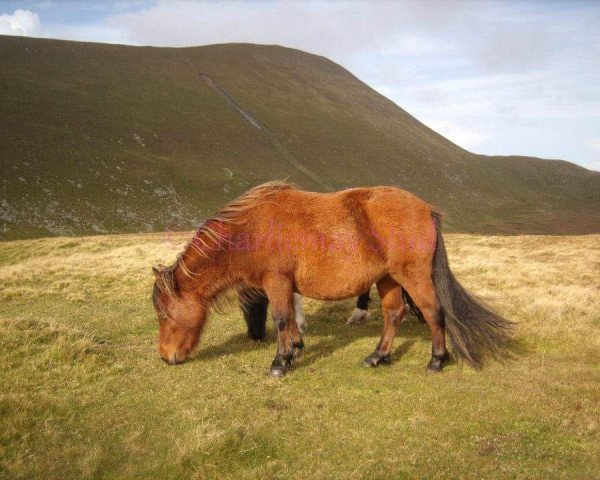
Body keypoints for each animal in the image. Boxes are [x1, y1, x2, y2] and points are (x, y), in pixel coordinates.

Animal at [152, 182, 512, 376]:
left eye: (166, 314)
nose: (166, 356)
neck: (251, 228)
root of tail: (426, 208)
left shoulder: (277, 281)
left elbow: (281, 319)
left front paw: (280, 362)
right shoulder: (284, 286)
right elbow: (290, 320)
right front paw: (295, 349)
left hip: (413, 277)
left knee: (434, 312)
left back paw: (436, 360)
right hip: (387, 280)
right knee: (395, 314)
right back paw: (378, 356)